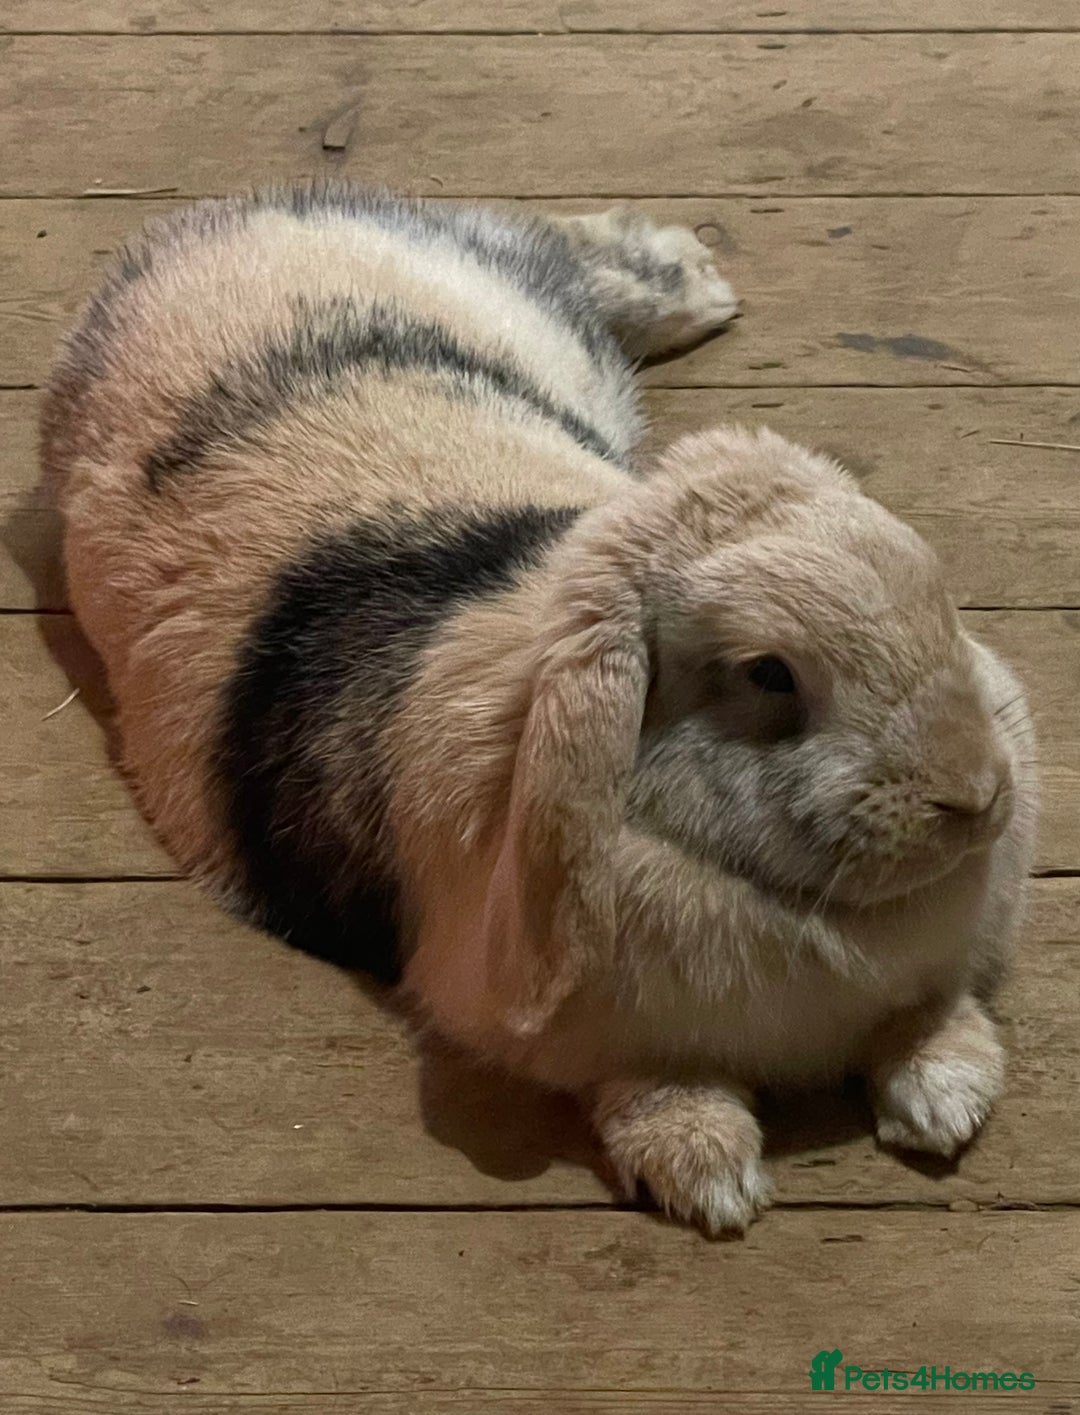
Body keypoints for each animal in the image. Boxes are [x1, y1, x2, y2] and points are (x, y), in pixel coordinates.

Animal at [47, 183, 1038, 1236]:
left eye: (934, 589)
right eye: (770, 673)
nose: (979, 797)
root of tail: (227, 217)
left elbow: (935, 1018)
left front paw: (945, 1103)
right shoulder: (616, 1049)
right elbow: (658, 1092)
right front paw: (712, 1181)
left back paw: (699, 287)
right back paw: (698, 286)